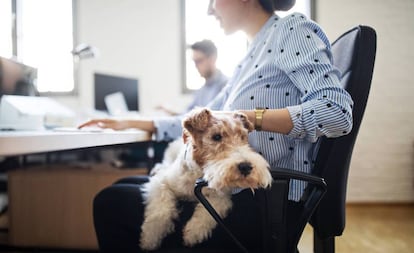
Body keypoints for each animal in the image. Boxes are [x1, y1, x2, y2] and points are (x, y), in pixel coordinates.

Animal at [139, 107, 274, 250]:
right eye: (216, 136)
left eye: (243, 137)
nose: (246, 167)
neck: (199, 173)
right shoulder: (161, 183)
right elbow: (161, 212)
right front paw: (149, 239)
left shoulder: (221, 197)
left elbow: (208, 213)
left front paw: (192, 233)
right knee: (164, 164)